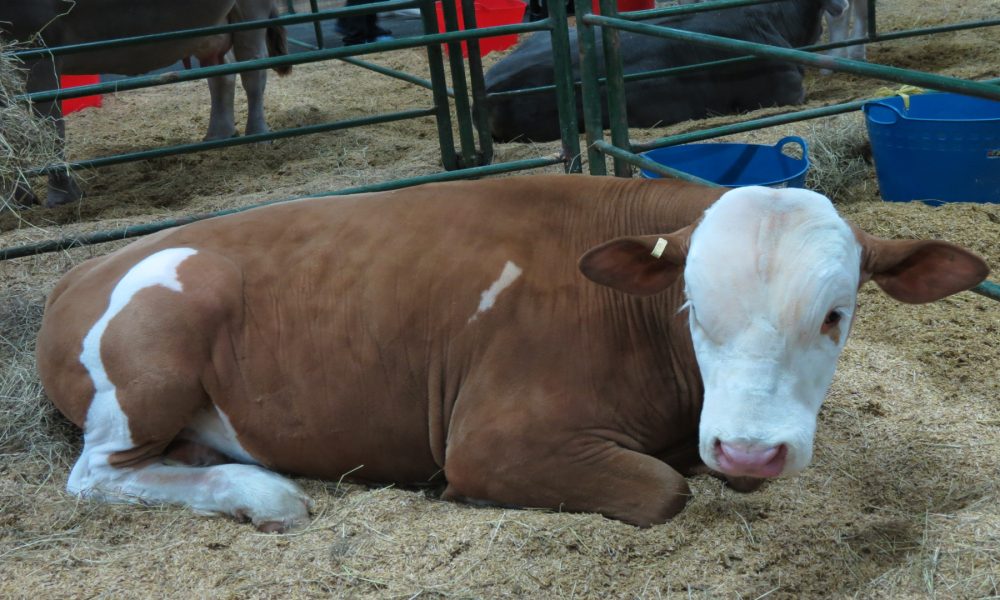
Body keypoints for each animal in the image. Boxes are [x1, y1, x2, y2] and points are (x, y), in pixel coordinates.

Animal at [0, 0, 290, 208]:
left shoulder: (36, 48)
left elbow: (50, 126)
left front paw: (61, 196)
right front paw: (16, 199)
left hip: (250, 12)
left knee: (253, 70)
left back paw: (258, 137)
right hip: (211, 29)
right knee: (222, 74)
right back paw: (218, 135)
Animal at [36, 175, 988, 532]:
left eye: (836, 314)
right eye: (693, 307)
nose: (750, 450)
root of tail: (81, 263)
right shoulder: (493, 440)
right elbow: (664, 489)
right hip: (158, 339)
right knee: (95, 475)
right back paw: (261, 492)